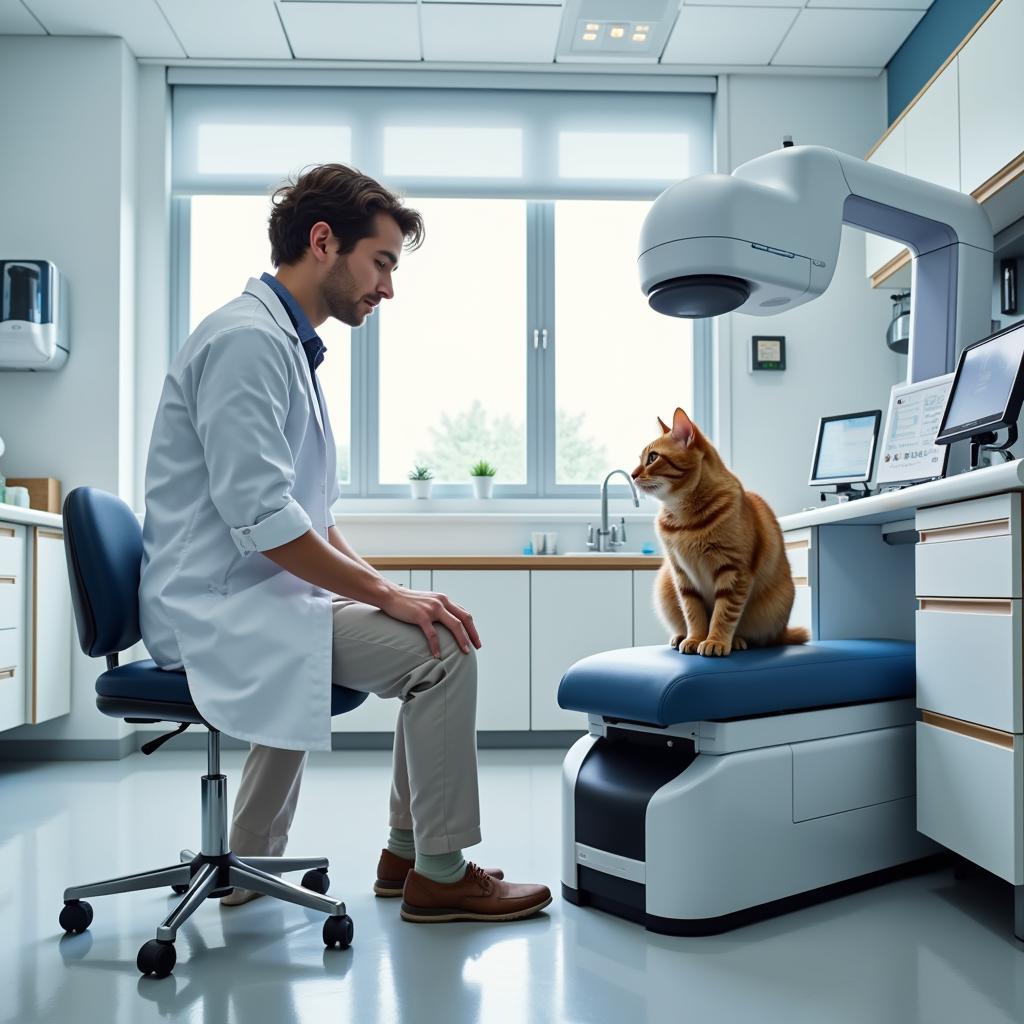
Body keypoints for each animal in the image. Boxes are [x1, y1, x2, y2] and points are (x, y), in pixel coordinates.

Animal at [630, 405, 806, 655]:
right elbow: (693, 613)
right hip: (665, 585)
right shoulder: (681, 575)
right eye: (640, 459)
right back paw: (680, 636)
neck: (684, 520)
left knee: (758, 637)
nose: (632, 474)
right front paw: (695, 638)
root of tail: (783, 632)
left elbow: (724, 614)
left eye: (652, 457)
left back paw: (737, 641)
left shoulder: (733, 570)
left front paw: (715, 641)